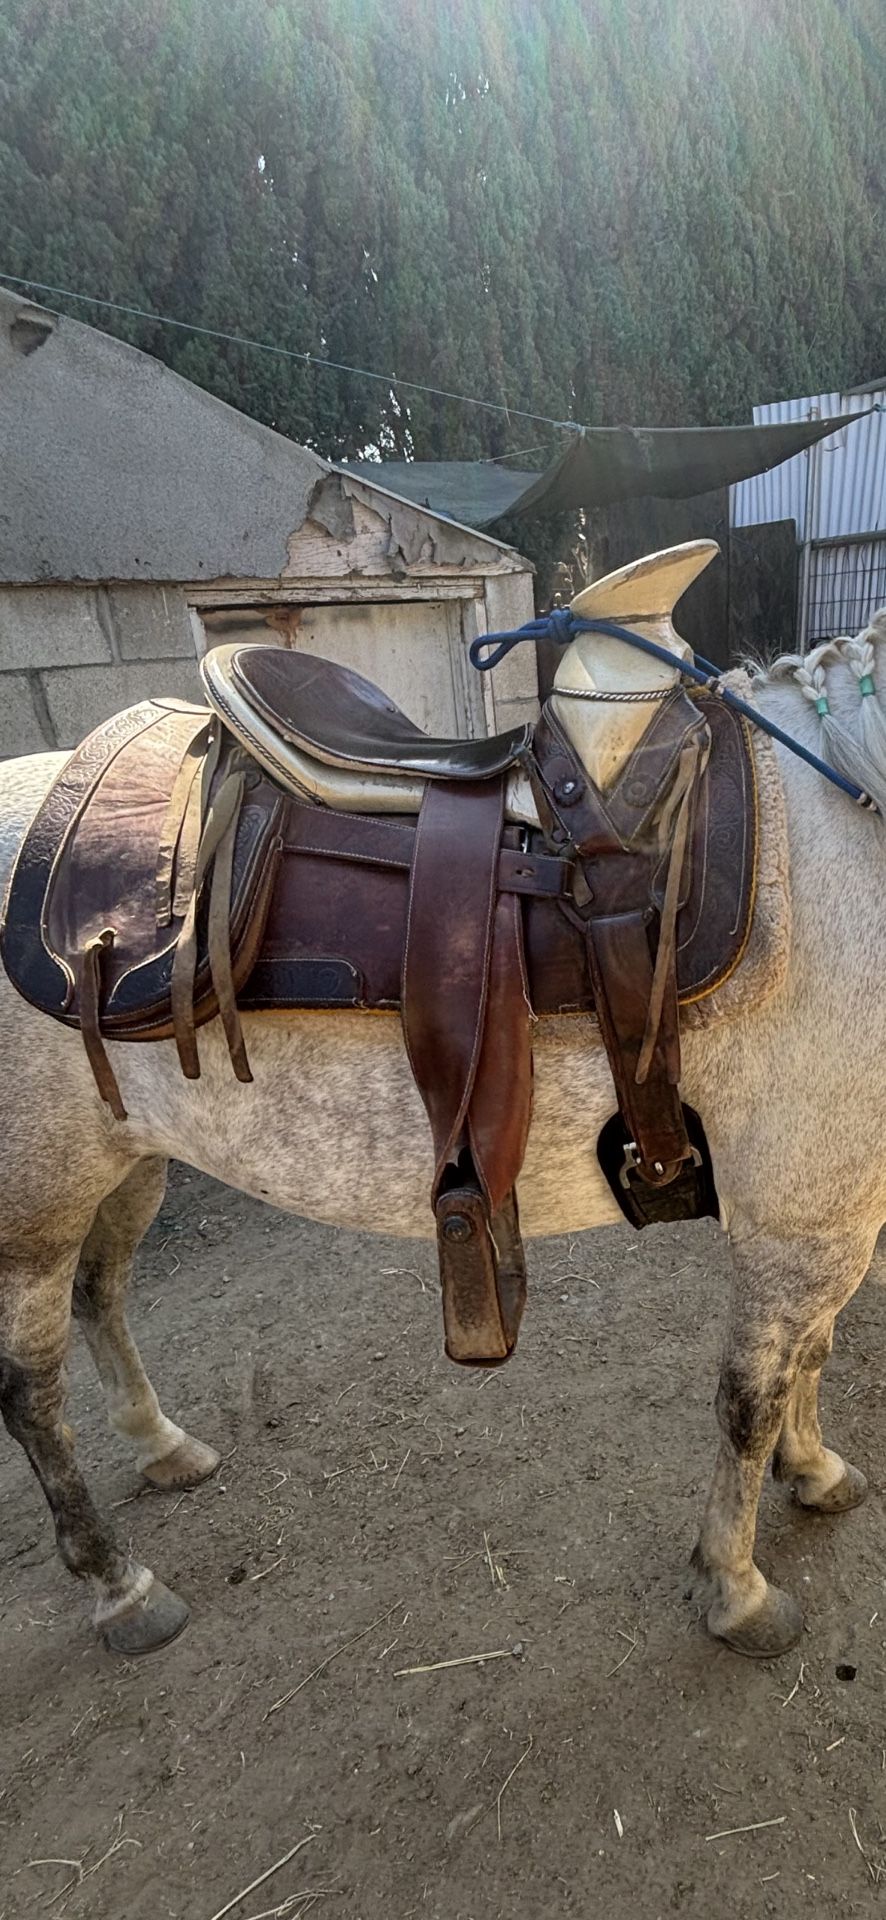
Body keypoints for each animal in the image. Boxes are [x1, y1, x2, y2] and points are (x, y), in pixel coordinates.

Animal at [1, 574, 885, 1663]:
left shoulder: (834, 1207)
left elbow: (811, 1355)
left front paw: (813, 1474)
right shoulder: (801, 1218)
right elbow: (751, 1396)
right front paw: (737, 1587)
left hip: (128, 1158)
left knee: (101, 1294)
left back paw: (163, 1448)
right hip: (33, 1201)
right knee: (30, 1391)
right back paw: (119, 1586)